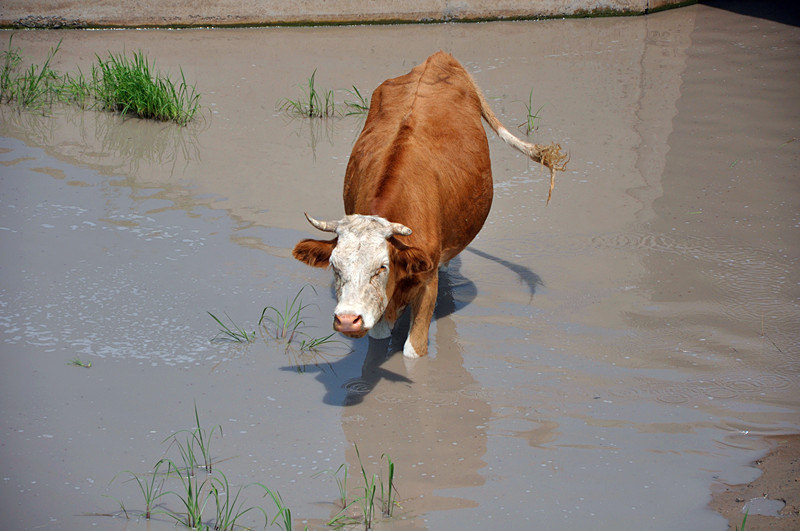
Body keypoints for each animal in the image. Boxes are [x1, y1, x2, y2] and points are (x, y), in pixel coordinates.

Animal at [292, 52, 564, 360]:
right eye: (334, 267)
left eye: (382, 267)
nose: (348, 319)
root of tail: (439, 58)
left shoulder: (426, 283)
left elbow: (413, 351)